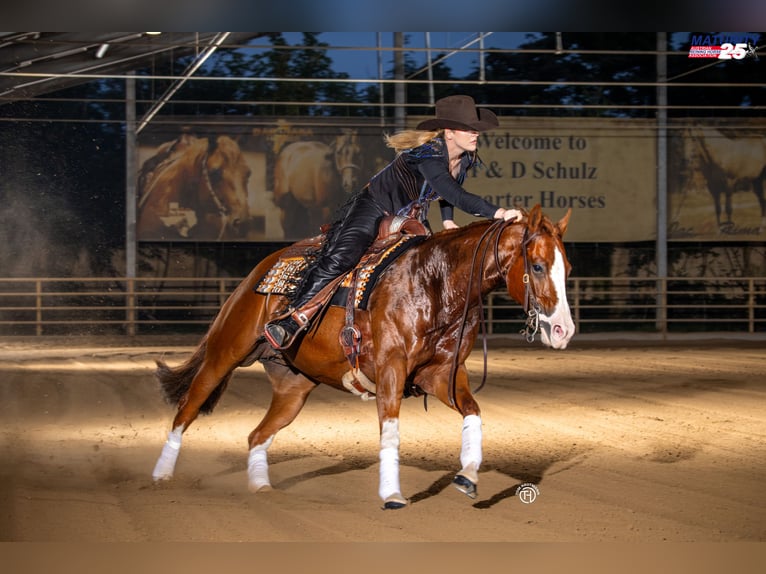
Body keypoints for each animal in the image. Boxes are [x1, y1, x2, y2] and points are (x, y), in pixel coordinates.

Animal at [151, 204, 574, 509]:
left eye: (567, 268)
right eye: (537, 265)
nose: (563, 330)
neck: (433, 281)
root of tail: (258, 272)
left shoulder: (442, 375)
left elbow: (473, 413)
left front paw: (467, 476)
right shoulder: (391, 371)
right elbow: (390, 430)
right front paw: (392, 495)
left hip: (293, 388)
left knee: (258, 434)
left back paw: (260, 486)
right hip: (225, 353)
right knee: (188, 408)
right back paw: (161, 475)